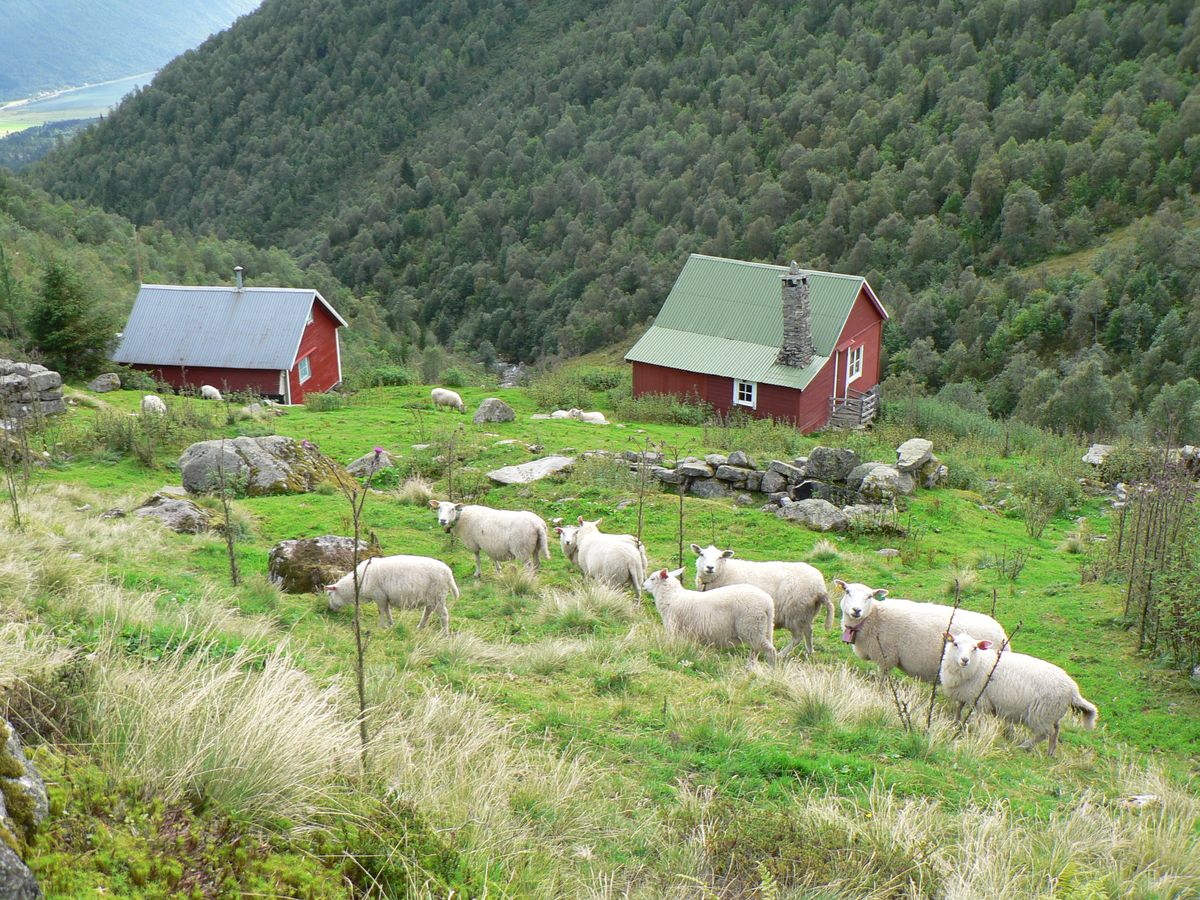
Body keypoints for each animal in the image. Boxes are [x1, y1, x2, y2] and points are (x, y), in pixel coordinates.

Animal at [324, 554, 458, 638]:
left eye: (329, 594)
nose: (330, 609)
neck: (357, 583)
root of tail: (449, 574)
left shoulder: (379, 596)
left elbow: (381, 611)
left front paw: (381, 626)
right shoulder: (385, 597)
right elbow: (387, 611)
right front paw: (390, 624)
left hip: (437, 595)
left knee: (444, 615)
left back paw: (444, 633)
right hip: (431, 598)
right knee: (428, 611)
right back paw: (420, 627)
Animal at [696, 547, 835, 657]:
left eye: (720, 557)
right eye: (702, 554)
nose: (710, 567)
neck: (723, 571)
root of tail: (820, 587)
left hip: (795, 612)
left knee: (797, 637)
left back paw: (781, 655)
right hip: (807, 613)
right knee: (809, 632)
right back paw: (809, 652)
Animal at [840, 580, 1008, 686]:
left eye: (869, 596)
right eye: (847, 592)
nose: (856, 610)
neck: (873, 616)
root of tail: (1003, 636)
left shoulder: (886, 657)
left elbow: (881, 681)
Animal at [936, 633, 1099, 763]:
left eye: (974, 648)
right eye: (955, 644)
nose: (964, 660)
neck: (978, 664)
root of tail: (1073, 689)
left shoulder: (981, 701)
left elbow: (977, 720)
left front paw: (975, 733)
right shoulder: (964, 695)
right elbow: (958, 709)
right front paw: (955, 724)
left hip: (1041, 713)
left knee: (1045, 733)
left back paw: (1023, 746)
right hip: (1052, 713)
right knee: (1056, 731)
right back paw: (1050, 753)